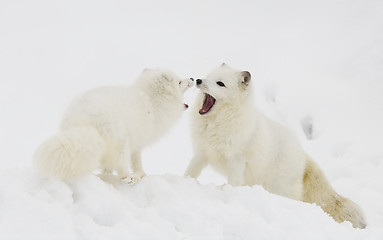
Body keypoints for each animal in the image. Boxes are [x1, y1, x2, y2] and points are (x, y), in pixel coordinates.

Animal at [34, 68, 194, 181]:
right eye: (179, 82)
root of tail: (83, 121)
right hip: (121, 143)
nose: (192, 78)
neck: (151, 101)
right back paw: (129, 178)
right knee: (122, 167)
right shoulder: (137, 144)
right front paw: (141, 174)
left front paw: (107, 174)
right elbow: (137, 162)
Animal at [185, 63, 366, 229]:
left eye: (220, 84)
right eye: (209, 76)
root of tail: (303, 155)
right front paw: (183, 181)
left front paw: (227, 194)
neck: (215, 124)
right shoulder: (202, 153)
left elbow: (233, 182)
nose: (199, 80)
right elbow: (190, 172)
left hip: (279, 188)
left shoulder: (237, 160)